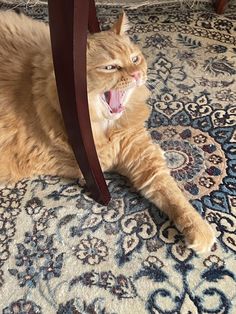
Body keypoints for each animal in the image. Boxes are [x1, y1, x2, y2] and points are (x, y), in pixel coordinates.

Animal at [0, 11, 216, 254]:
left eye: (134, 59)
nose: (137, 75)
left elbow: (172, 194)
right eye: (110, 68)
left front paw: (198, 228)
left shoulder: (142, 159)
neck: (108, 129)